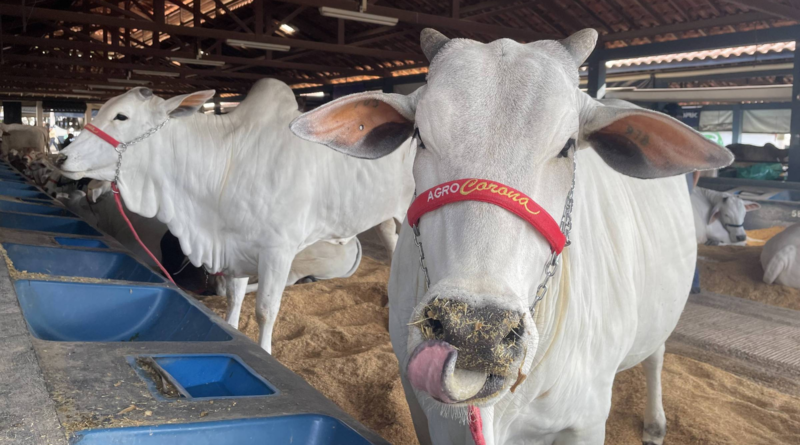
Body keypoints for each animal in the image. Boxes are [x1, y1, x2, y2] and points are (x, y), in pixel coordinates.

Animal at [59, 78, 416, 352]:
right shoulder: (234, 247)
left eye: (122, 116)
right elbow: (234, 298)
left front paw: (265, 351)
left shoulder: (277, 251)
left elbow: (266, 310)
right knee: (390, 241)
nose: (62, 157)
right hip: (384, 215)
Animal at [290, 28, 736, 444]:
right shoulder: (419, 407)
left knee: (657, 354)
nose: (474, 332)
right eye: (419, 137)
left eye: (568, 145)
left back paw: (655, 423)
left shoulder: (586, 423)